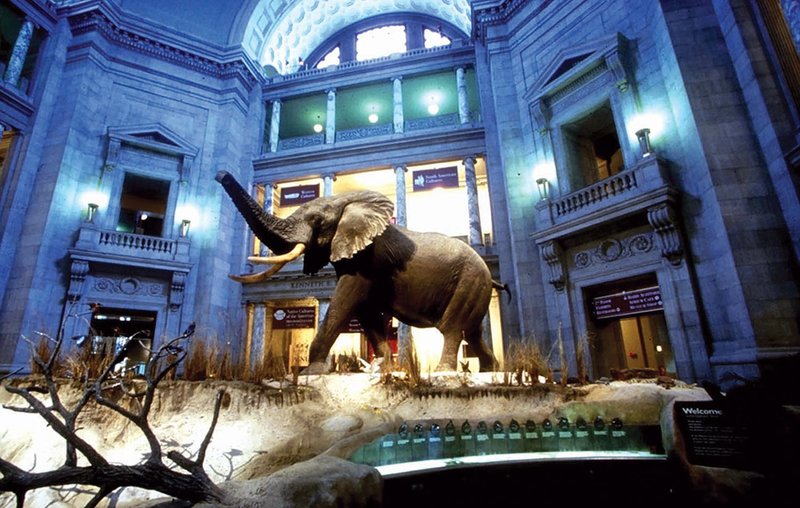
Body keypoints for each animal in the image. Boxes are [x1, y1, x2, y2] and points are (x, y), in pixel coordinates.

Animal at [217, 171, 506, 374]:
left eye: (317, 221)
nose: (220, 174)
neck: (346, 202)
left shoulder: (368, 259)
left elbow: (344, 302)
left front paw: (312, 372)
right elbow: (366, 310)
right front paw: (382, 369)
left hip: (470, 279)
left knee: (453, 327)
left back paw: (444, 373)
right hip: (475, 287)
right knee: (473, 332)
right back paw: (490, 370)